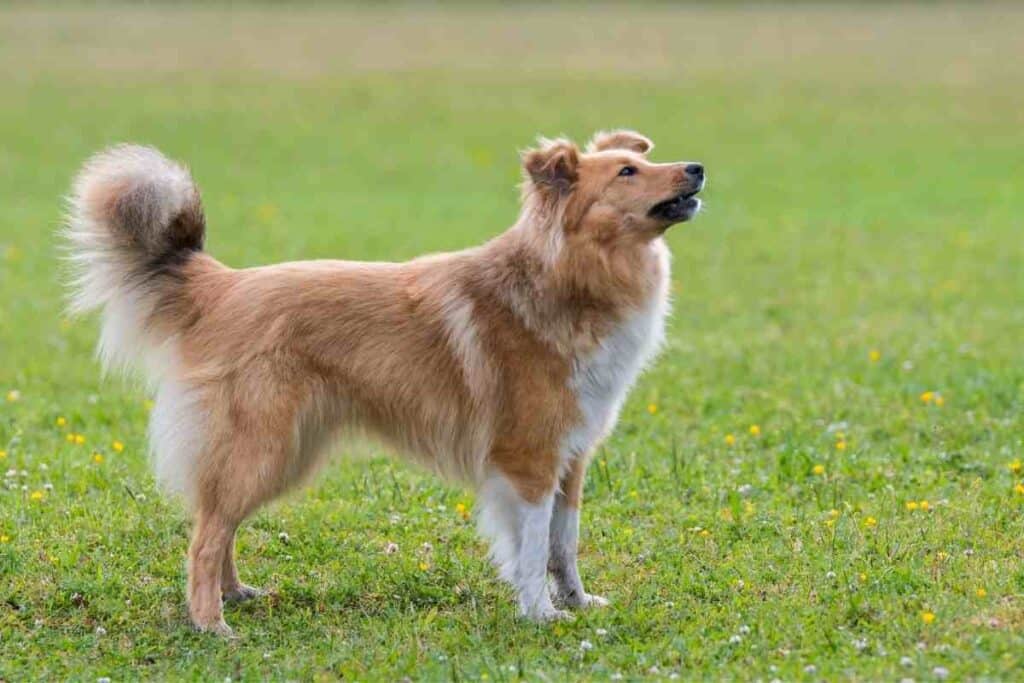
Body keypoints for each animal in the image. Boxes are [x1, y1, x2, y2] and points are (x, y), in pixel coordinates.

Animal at [64, 129, 704, 634]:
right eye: (627, 172)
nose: (697, 168)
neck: (565, 278)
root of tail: (221, 286)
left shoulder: (570, 460)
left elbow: (562, 544)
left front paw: (577, 603)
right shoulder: (527, 462)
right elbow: (528, 549)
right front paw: (541, 615)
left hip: (282, 452)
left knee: (215, 523)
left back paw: (235, 594)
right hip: (262, 446)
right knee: (204, 536)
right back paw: (211, 623)